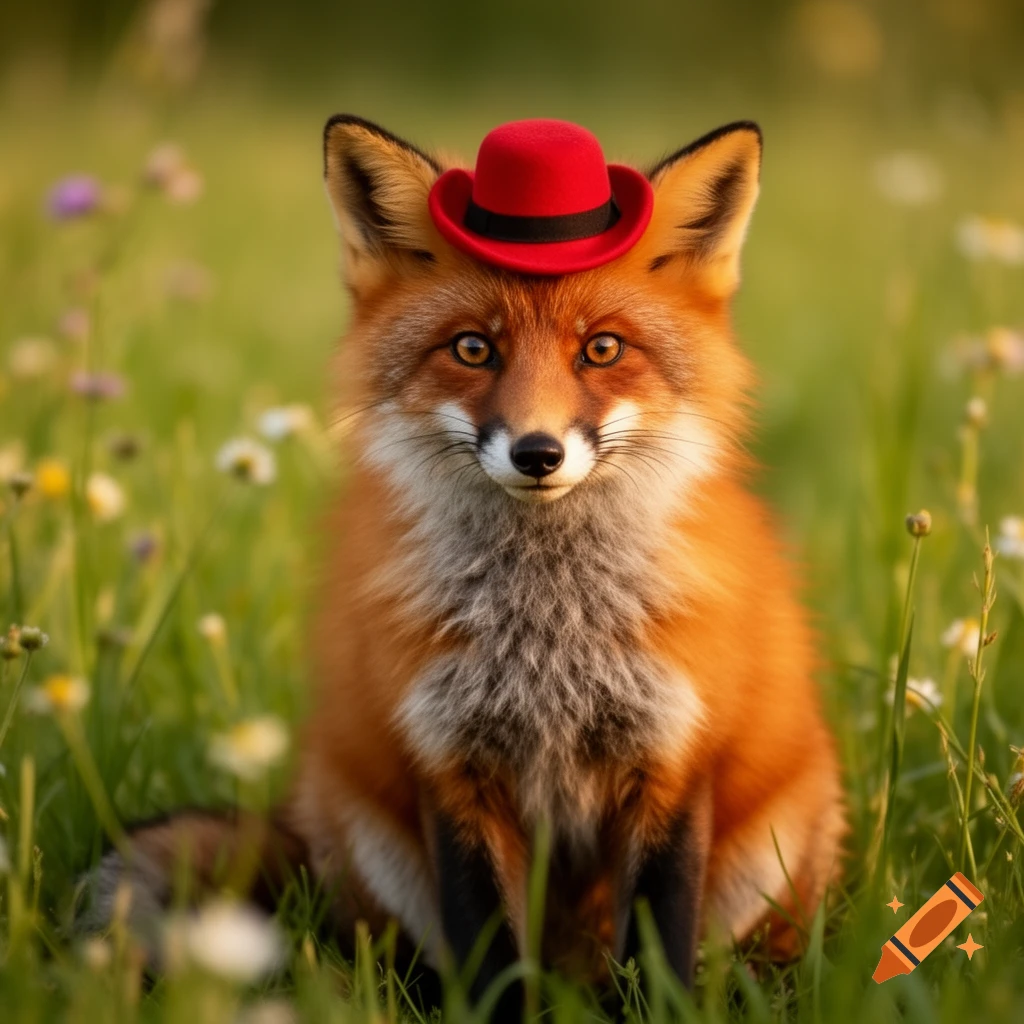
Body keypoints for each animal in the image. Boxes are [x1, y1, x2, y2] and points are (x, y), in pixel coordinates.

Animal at [87, 115, 845, 1013]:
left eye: (602, 349)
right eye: (475, 348)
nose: (538, 452)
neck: (550, 634)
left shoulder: (671, 760)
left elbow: (657, 954)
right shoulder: (451, 767)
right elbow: (489, 958)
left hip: (773, 846)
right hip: (370, 840)